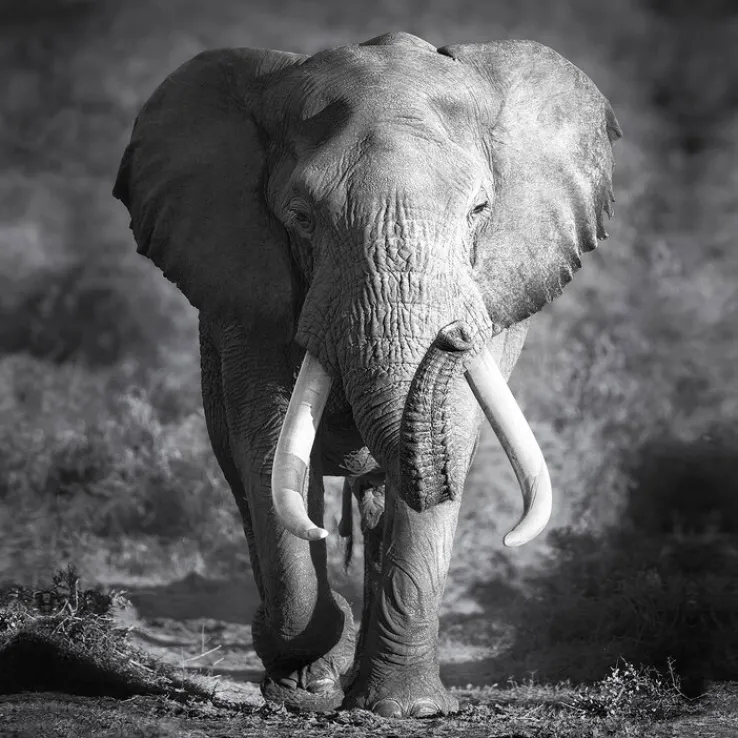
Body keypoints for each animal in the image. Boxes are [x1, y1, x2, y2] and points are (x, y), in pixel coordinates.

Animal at [113, 31, 620, 718]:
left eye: (479, 210)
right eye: (301, 216)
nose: (454, 335)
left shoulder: (498, 287)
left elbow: (452, 436)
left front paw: (408, 709)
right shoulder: (245, 293)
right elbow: (267, 447)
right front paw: (306, 685)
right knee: (246, 477)